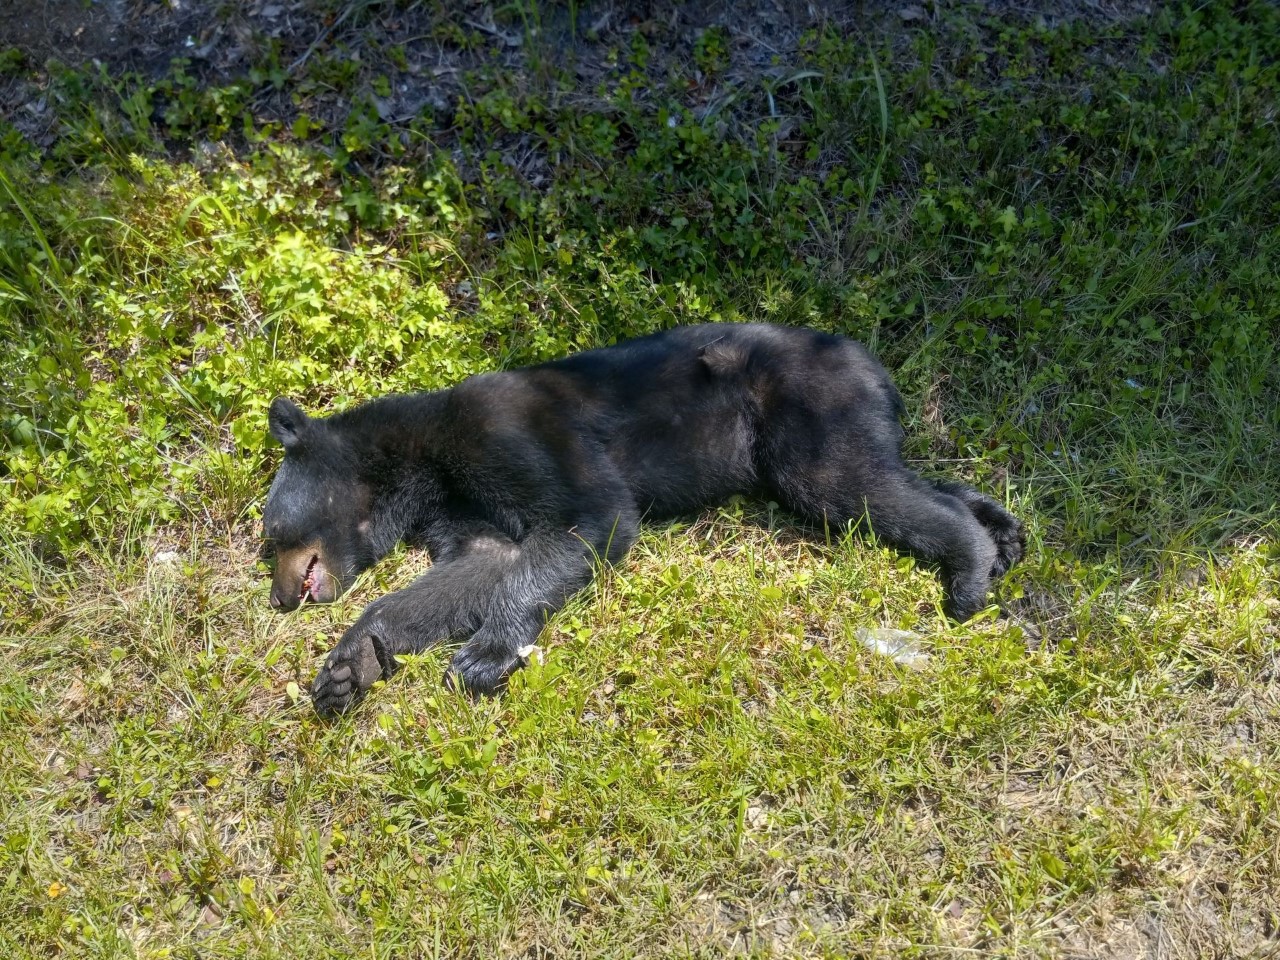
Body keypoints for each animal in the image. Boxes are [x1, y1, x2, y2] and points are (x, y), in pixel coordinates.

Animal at [259, 323, 1018, 716]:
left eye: (269, 534)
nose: (280, 595)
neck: (420, 460)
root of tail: (868, 360)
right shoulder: (462, 505)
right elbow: (472, 568)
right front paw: (349, 665)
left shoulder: (510, 432)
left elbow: (589, 519)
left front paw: (483, 655)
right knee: (892, 474)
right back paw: (1002, 531)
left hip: (806, 407)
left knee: (854, 485)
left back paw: (970, 572)